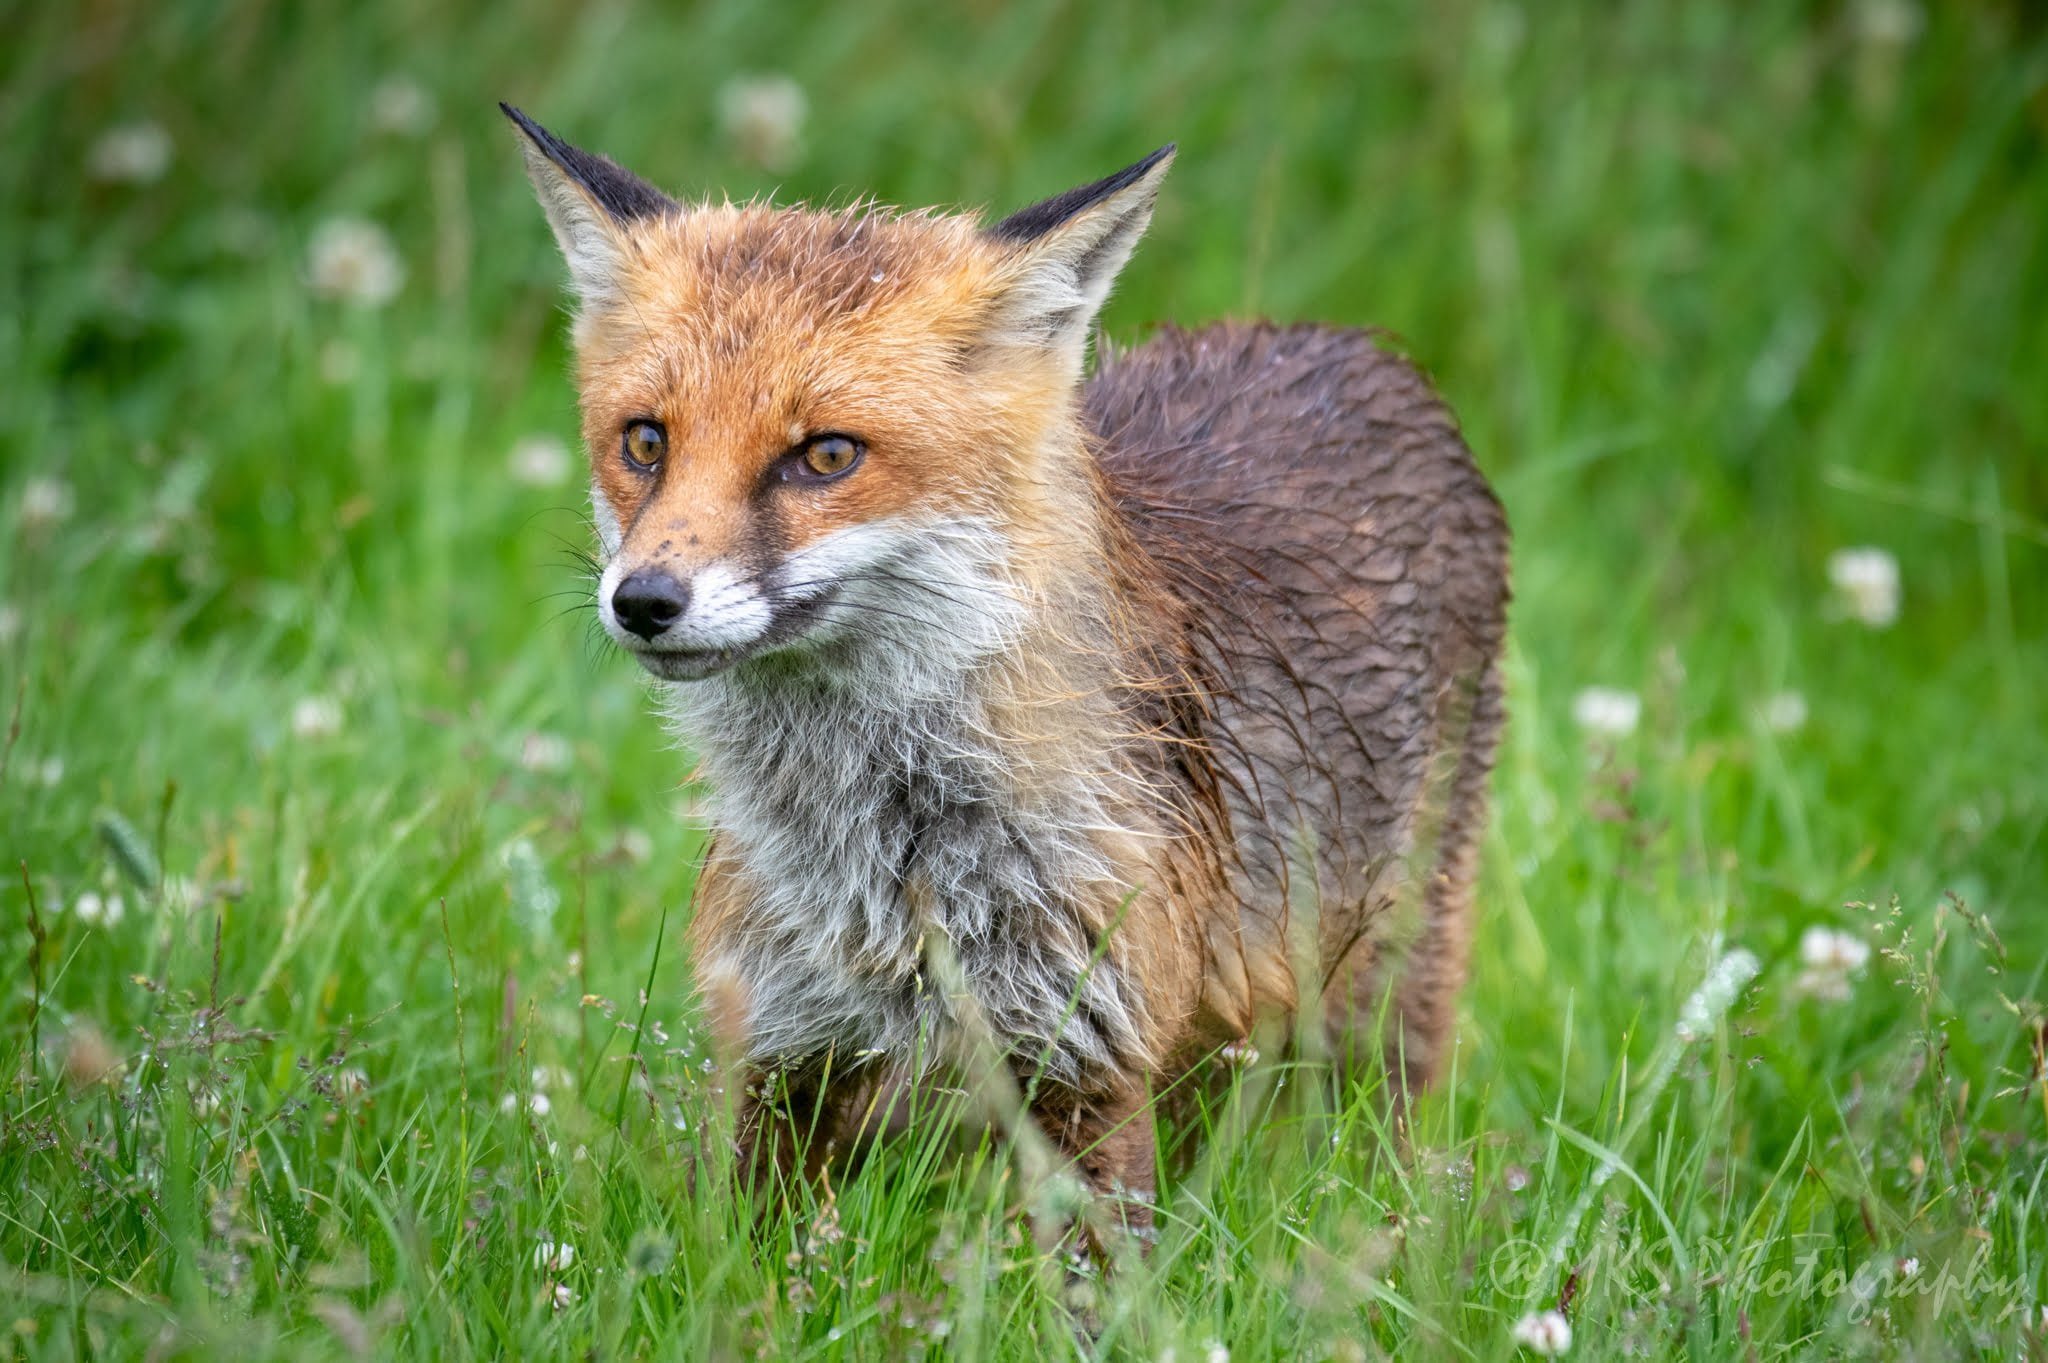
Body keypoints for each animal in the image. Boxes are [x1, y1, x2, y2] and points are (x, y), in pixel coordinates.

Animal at [506, 106, 1509, 1236]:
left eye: (825, 456)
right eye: (645, 441)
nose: (644, 600)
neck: (885, 861)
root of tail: (1344, 340)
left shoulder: (1091, 1059)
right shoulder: (786, 1049)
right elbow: (751, 1262)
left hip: (1382, 998)